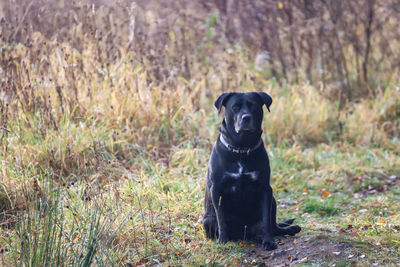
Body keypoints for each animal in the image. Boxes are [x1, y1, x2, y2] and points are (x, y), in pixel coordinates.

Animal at [203, 92, 300, 251]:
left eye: (253, 105)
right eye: (235, 107)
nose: (246, 117)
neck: (242, 148)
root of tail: (246, 234)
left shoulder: (265, 189)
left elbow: (266, 220)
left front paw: (269, 241)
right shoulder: (217, 190)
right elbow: (221, 219)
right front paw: (223, 240)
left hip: (273, 201)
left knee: (274, 226)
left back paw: (289, 229)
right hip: (207, 220)